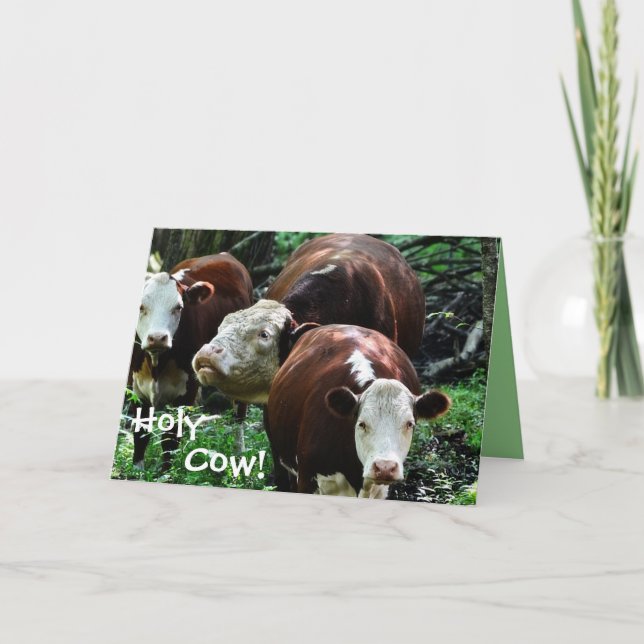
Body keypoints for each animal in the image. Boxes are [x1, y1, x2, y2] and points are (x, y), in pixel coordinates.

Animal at [128, 253, 253, 470]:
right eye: (141, 307)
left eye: (178, 307)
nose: (157, 338)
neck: (156, 364)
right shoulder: (136, 390)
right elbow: (140, 434)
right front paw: (136, 471)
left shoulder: (185, 393)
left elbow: (170, 440)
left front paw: (166, 473)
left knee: (239, 413)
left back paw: (239, 454)